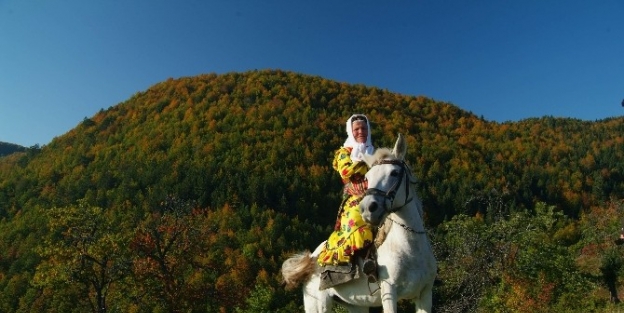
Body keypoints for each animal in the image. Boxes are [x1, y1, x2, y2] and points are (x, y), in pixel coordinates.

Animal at [280, 134, 436, 312]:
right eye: (367, 177)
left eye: (394, 173)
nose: (368, 208)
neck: (410, 250)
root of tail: (311, 260)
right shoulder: (389, 293)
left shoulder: (425, 294)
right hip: (317, 305)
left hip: (355, 305)